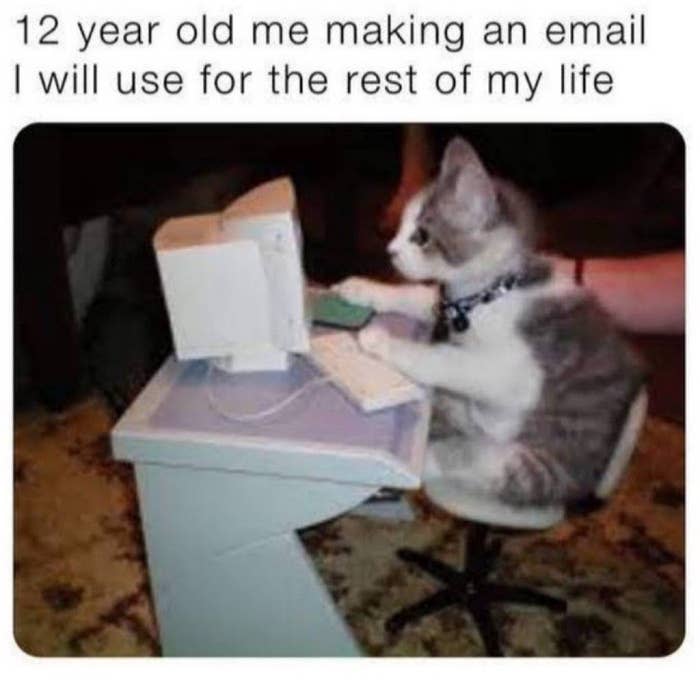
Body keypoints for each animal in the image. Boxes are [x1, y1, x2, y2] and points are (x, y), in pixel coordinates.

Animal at [334, 136, 644, 508]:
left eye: (421, 236)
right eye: (401, 228)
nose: (390, 250)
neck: (486, 296)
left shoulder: (516, 373)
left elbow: (446, 360)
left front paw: (381, 341)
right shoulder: (446, 305)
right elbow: (417, 296)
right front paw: (362, 289)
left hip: (535, 465)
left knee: (474, 461)